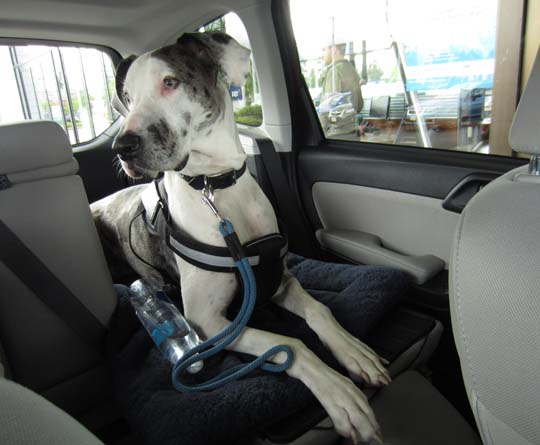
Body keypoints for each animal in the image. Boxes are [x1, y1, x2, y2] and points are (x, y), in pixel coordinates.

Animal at [92, 32, 388, 444]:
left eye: (170, 82)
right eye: (128, 98)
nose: (122, 148)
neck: (215, 186)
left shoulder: (280, 279)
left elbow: (320, 310)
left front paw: (353, 351)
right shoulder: (208, 323)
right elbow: (289, 344)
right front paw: (339, 392)